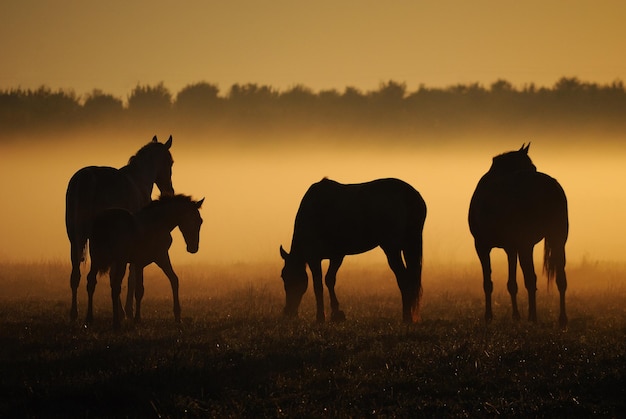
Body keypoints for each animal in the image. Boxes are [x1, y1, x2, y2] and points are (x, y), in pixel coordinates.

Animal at [65, 135, 174, 322]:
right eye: (170, 162)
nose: (169, 190)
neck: (139, 181)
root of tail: (87, 178)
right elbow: (128, 277)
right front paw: (127, 311)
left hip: (76, 239)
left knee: (76, 276)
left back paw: (75, 314)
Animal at [84, 194, 202, 328]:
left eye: (200, 221)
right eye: (194, 221)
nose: (193, 248)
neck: (157, 223)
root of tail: (104, 221)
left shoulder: (141, 262)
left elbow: (164, 282)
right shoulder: (159, 257)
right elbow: (147, 287)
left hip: (96, 259)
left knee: (91, 282)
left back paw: (89, 319)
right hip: (120, 260)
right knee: (115, 286)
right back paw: (116, 322)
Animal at [280, 179, 426, 324]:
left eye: (286, 277)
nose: (288, 312)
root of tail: (409, 195)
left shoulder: (314, 258)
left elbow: (318, 285)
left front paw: (321, 316)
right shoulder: (336, 256)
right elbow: (329, 280)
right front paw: (336, 313)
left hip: (392, 248)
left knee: (403, 277)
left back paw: (406, 317)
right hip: (407, 246)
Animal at [466, 146, 568, 330]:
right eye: (531, 166)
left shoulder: (482, 246)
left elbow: (488, 283)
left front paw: (488, 316)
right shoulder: (511, 248)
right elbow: (512, 284)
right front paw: (516, 316)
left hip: (526, 245)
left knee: (531, 279)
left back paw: (533, 317)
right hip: (558, 240)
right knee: (561, 279)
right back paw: (562, 320)